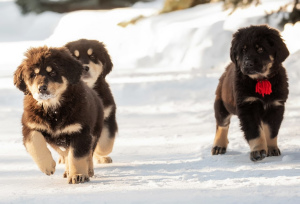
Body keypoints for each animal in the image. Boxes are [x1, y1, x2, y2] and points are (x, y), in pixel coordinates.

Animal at [14, 45, 104, 183]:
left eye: (53, 72)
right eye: (33, 74)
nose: (42, 88)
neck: (53, 109)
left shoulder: (80, 130)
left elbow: (77, 155)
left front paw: (78, 175)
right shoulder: (30, 125)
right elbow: (34, 143)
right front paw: (47, 166)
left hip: (94, 132)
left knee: (88, 153)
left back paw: (88, 170)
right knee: (65, 154)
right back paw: (67, 170)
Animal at [212, 25, 290, 161]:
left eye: (260, 49)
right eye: (243, 50)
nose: (248, 63)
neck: (260, 80)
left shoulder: (276, 106)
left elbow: (271, 131)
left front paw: (272, 149)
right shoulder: (247, 106)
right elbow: (255, 132)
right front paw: (258, 151)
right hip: (222, 103)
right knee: (222, 124)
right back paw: (219, 146)